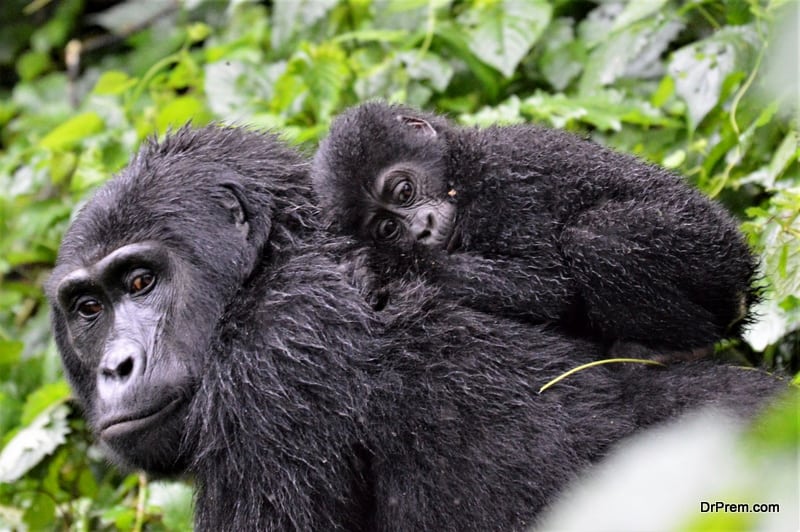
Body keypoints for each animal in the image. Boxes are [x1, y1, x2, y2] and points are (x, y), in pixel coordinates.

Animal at [312, 102, 756, 356]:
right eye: (387, 227)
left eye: (404, 191)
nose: (421, 229)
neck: (460, 167)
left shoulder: (503, 179)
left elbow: (546, 286)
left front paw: (382, 264)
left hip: (710, 252)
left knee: (598, 238)